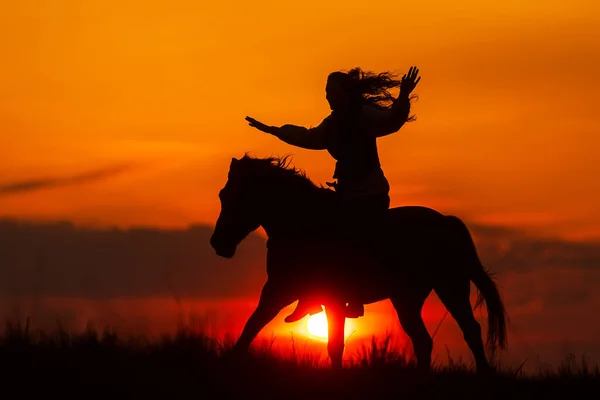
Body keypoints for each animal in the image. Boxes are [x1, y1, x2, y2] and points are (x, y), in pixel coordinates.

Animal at [211, 154, 506, 372]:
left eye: (235, 196)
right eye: (222, 194)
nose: (217, 243)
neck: (303, 224)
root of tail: (447, 222)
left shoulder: (303, 294)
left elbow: (332, 343)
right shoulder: (281, 291)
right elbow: (254, 325)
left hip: (449, 288)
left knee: (469, 330)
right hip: (408, 298)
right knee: (425, 339)